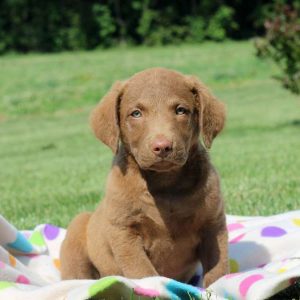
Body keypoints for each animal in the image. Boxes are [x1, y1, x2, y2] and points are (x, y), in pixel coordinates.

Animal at [59, 67, 229, 288]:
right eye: (136, 113)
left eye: (180, 110)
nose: (162, 146)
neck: (165, 184)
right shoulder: (124, 230)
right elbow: (142, 272)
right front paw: (155, 288)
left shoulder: (213, 225)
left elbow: (218, 268)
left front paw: (219, 287)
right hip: (77, 230)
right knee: (76, 274)